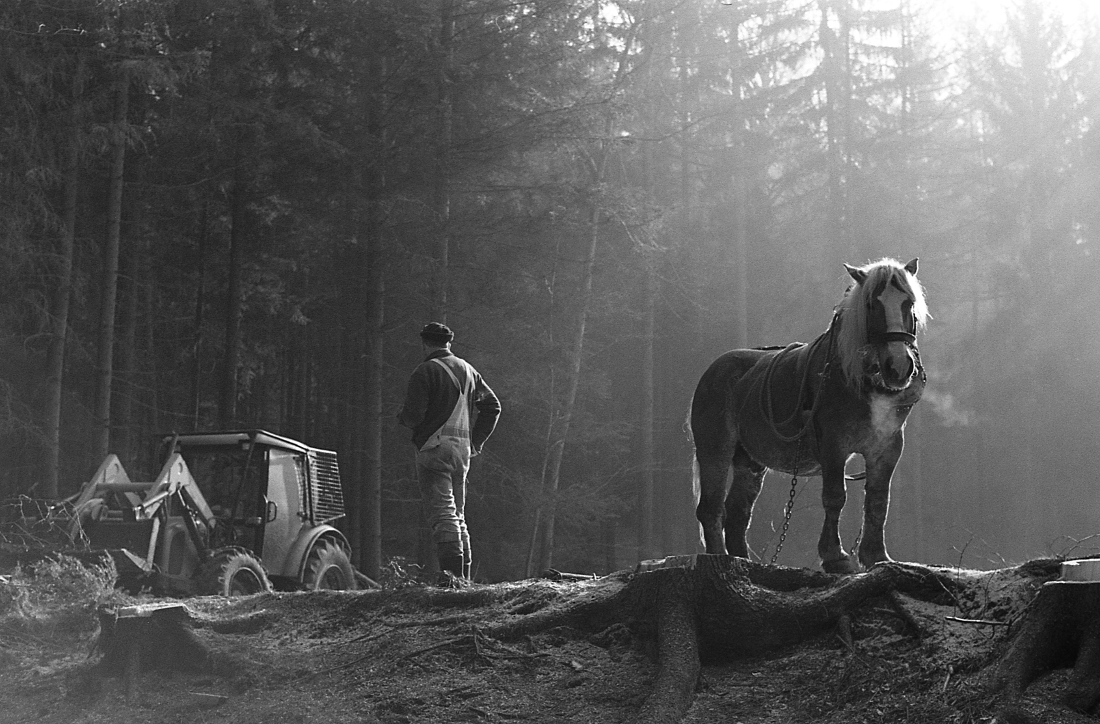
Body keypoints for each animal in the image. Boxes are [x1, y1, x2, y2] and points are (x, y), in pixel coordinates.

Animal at [689, 258, 929, 573]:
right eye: (871, 305)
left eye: (908, 303)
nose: (899, 367)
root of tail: (713, 370)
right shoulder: (833, 445)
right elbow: (835, 496)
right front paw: (835, 557)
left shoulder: (887, 447)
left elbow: (878, 500)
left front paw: (876, 555)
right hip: (715, 449)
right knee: (711, 508)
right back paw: (718, 559)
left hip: (748, 461)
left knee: (738, 512)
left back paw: (742, 560)